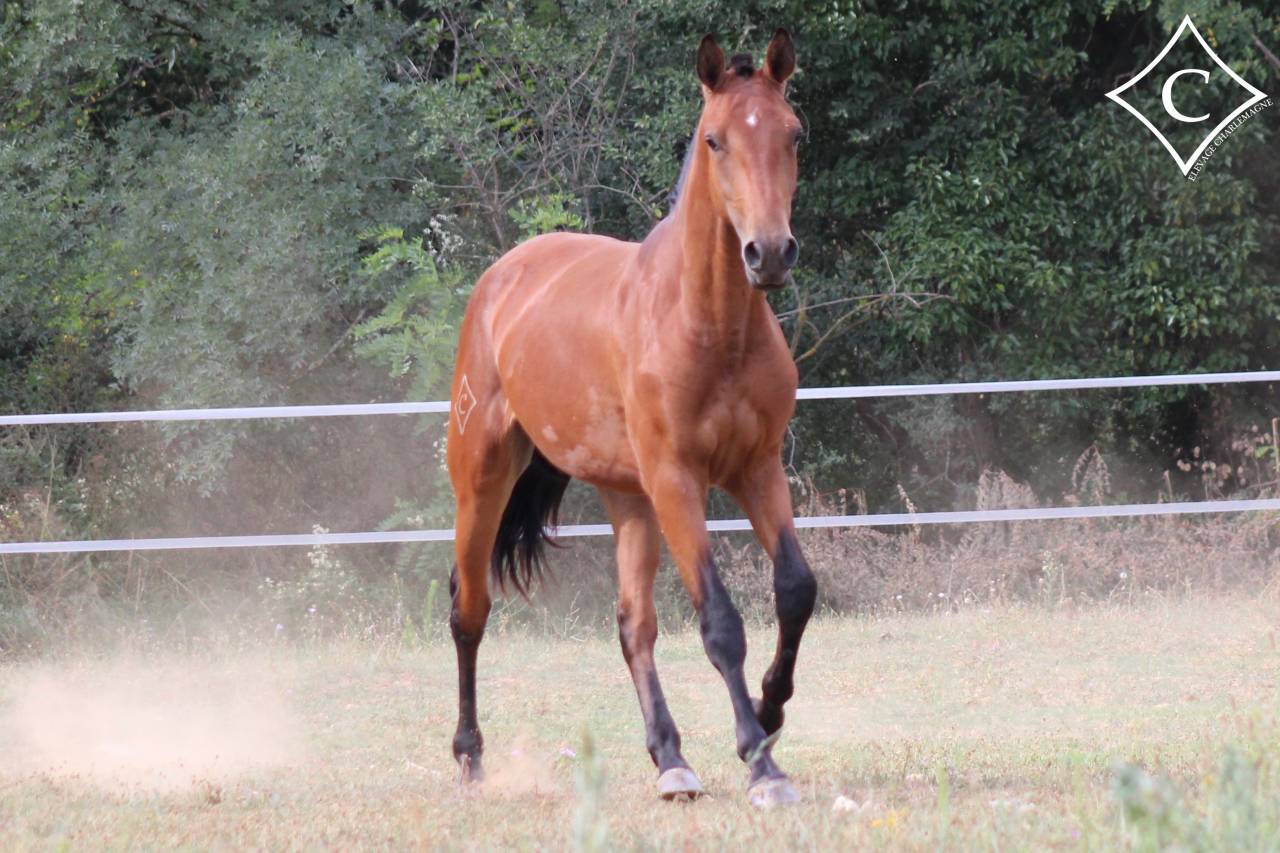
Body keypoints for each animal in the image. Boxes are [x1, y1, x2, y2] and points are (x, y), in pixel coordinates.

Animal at [445, 29, 816, 808]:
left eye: (794, 134)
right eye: (714, 140)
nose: (769, 252)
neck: (708, 327)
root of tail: (501, 277)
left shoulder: (757, 467)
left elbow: (796, 590)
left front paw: (769, 711)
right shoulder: (678, 479)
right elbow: (720, 622)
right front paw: (760, 762)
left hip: (628, 496)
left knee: (632, 625)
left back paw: (671, 759)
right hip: (484, 476)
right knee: (470, 609)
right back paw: (470, 756)